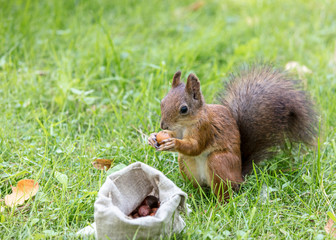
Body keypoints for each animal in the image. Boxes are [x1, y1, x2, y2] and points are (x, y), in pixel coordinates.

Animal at [148, 64, 318, 200]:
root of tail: (239, 176)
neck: (186, 125)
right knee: (200, 188)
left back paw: (217, 206)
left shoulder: (205, 129)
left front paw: (173, 143)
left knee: (224, 193)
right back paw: (192, 195)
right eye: (163, 102)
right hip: (186, 163)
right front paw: (152, 138)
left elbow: (195, 146)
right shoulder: (177, 130)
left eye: (184, 109)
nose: (163, 125)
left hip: (219, 162)